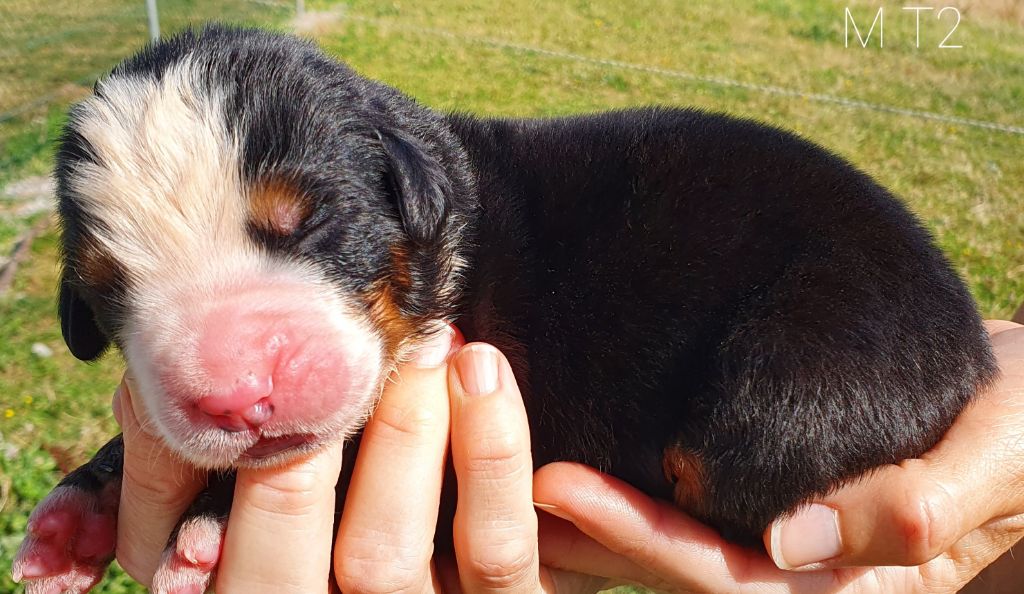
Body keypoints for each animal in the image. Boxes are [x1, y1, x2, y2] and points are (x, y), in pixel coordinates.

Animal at [12, 25, 996, 593]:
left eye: (310, 220)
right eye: (109, 287)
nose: (233, 395)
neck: (451, 234)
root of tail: (973, 355)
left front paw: (204, 534)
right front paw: (73, 518)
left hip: (791, 382)